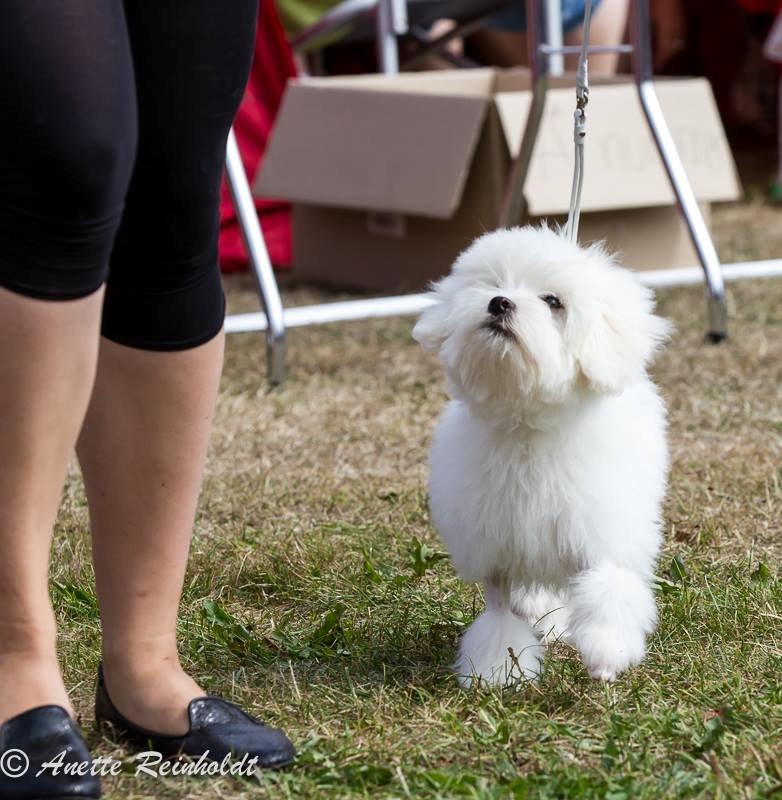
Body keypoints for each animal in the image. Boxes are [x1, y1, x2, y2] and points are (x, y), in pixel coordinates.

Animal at [410, 227, 672, 688]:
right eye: (492, 283)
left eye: (553, 301)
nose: (499, 302)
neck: (527, 424)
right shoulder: (497, 546)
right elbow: (499, 614)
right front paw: (496, 671)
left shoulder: (598, 529)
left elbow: (608, 586)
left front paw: (606, 654)